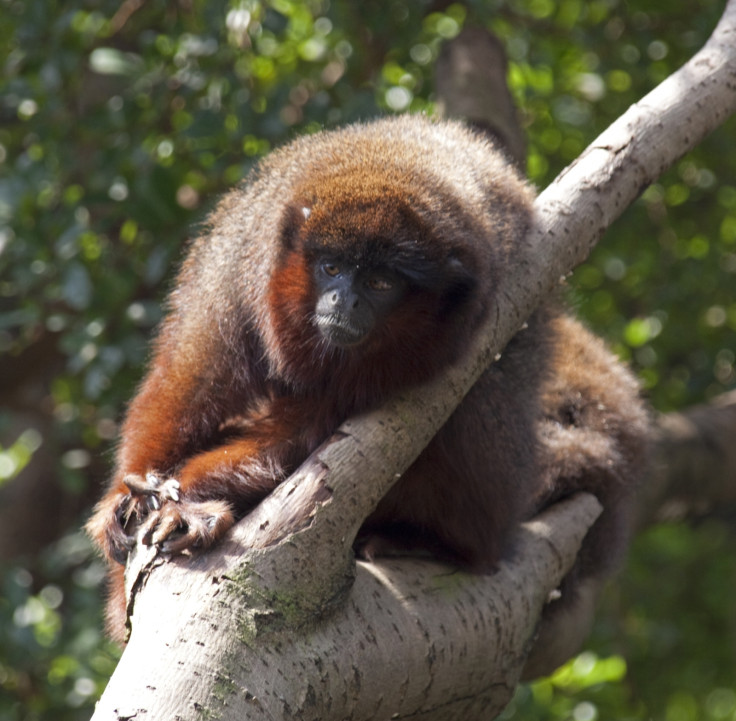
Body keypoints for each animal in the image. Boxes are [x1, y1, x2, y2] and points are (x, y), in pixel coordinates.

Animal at [87, 116, 648, 640]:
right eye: (332, 268)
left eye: (380, 283)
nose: (344, 302)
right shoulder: (241, 262)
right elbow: (191, 379)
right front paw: (131, 505)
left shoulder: (474, 317)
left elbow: (303, 437)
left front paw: (191, 505)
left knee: (483, 405)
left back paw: (439, 545)